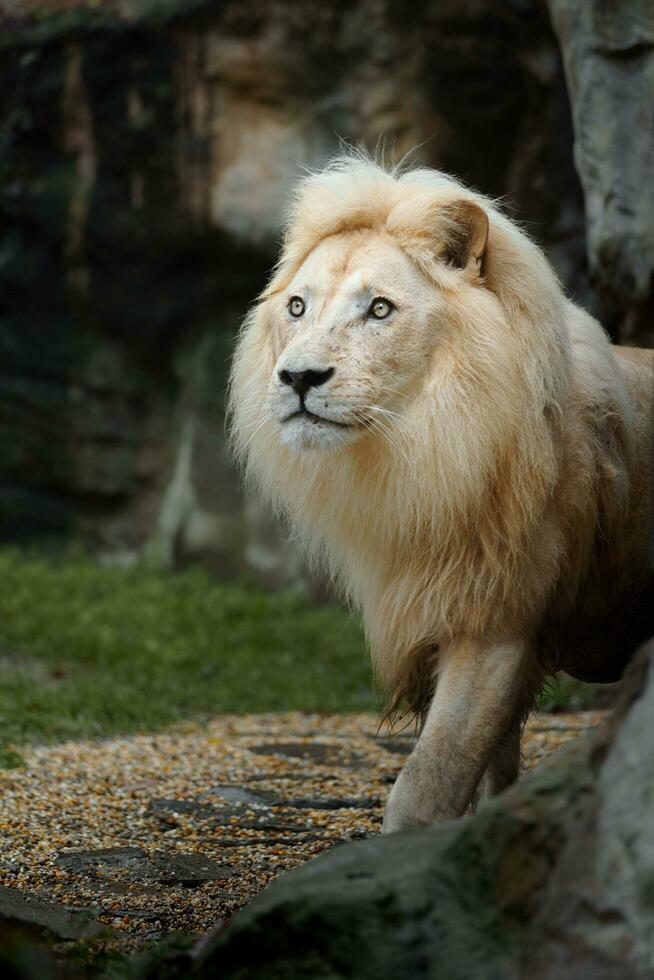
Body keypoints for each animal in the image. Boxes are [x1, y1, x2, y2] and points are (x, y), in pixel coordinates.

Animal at [228, 157, 652, 832]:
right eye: (296, 307)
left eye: (379, 309)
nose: (297, 377)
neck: (426, 453)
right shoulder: (433, 612)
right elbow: (485, 766)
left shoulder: (494, 622)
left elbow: (430, 779)